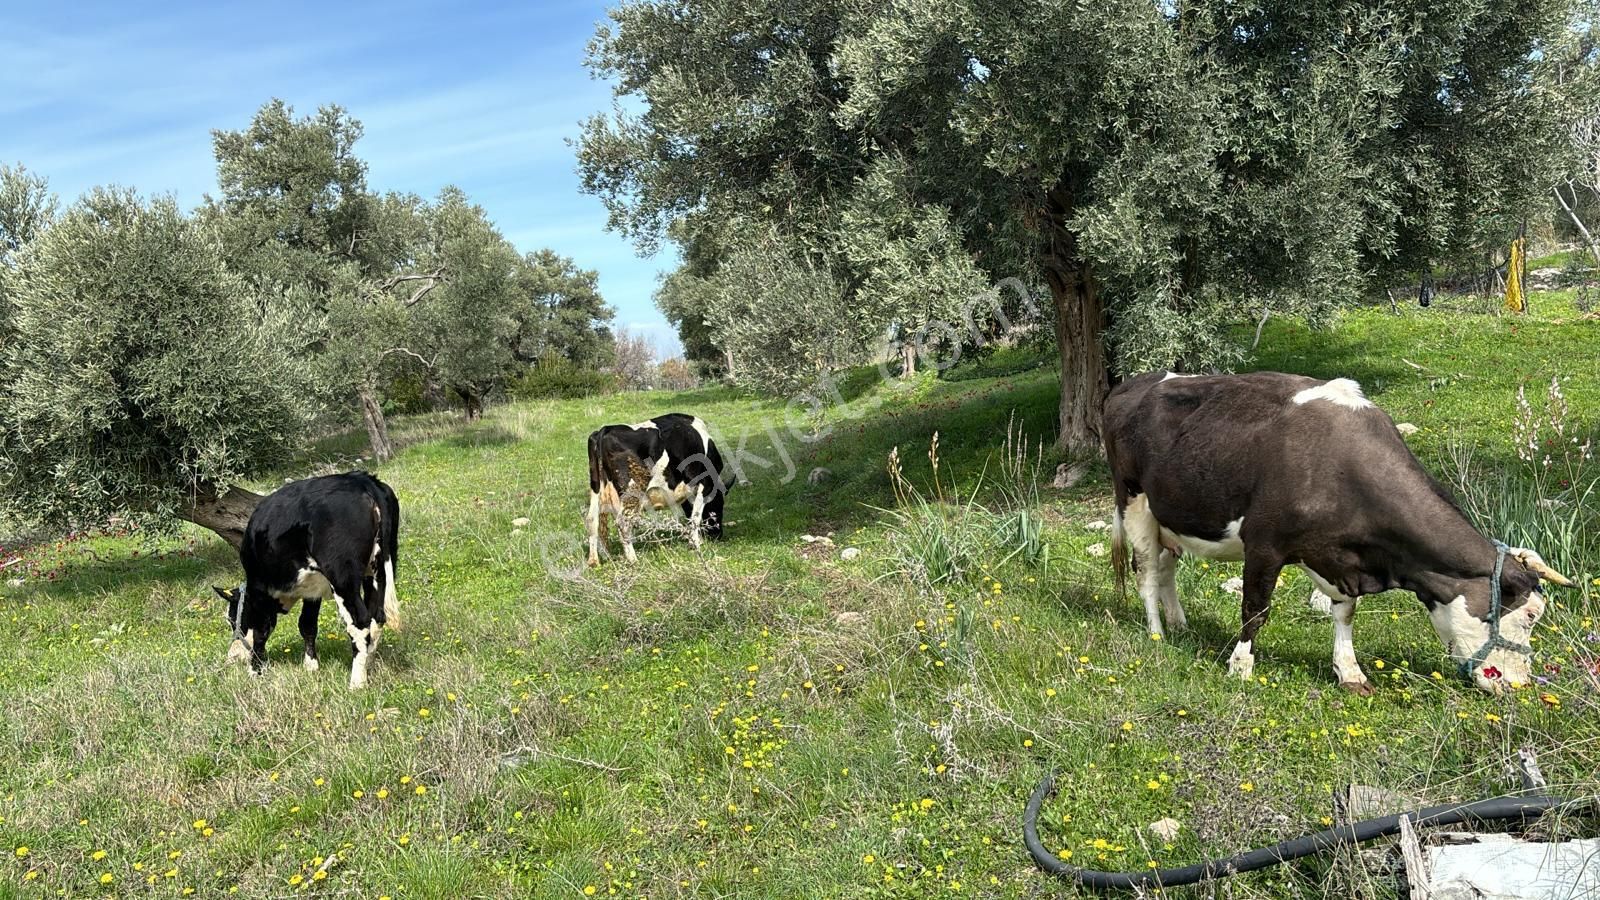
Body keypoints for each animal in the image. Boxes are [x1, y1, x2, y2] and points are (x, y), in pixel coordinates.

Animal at [214, 470, 403, 685]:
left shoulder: (260, 589)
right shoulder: (312, 591)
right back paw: (368, 663)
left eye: (231, 619)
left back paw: (356, 682)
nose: (232, 657)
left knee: (360, 621)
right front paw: (311, 666)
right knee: (376, 616)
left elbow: (261, 632)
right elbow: (307, 624)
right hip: (378, 570)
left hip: (342, 577)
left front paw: (255, 670)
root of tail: (361, 480)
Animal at [588, 413, 732, 563]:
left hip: (596, 488)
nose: (717, 535)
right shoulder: (705, 485)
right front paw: (695, 544)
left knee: (592, 519)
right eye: (719, 504)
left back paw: (594, 561)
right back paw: (633, 560)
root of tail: (606, 429)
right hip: (633, 490)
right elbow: (696, 516)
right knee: (622, 522)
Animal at [1107, 371, 1568, 695]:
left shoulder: (1338, 556)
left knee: (1166, 566)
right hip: (1133, 499)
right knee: (1146, 570)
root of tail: (1131, 383)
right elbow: (1256, 609)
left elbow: (1345, 613)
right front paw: (1240, 667)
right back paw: (1156, 632)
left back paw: (1179, 624)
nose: (1519, 685)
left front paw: (1349, 672)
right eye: (1529, 615)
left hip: (1171, 516)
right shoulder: (1265, 545)